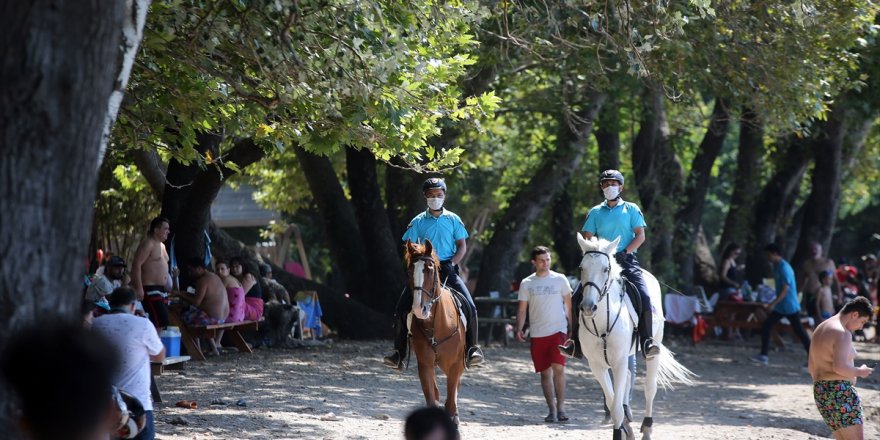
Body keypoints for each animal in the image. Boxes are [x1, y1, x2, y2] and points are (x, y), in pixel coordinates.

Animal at [404, 239, 468, 424]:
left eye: (430, 270)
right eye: (410, 271)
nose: (419, 309)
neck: (437, 325)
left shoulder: (455, 364)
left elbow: (451, 398)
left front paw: (454, 416)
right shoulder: (424, 364)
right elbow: (431, 396)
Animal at [576, 235, 696, 440]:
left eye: (605, 269)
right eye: (582, 268)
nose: (588, 307)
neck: (602, 322)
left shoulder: (619, 361)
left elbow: (616, 408)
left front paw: (620, 431)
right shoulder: (596, 365)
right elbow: (611, 401)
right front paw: (625, 427)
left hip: (653, 349)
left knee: (650, 387)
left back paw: (647, 428)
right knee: (628, 378)